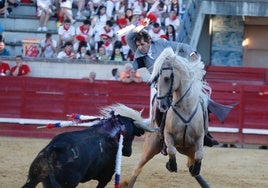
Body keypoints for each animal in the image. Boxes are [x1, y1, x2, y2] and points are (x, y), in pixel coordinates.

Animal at [22, 114, 156, 187]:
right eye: (132, 135)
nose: (129, 152)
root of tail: (52, 148)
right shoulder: (106, 177)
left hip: (33, 178)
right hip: (67, 184)